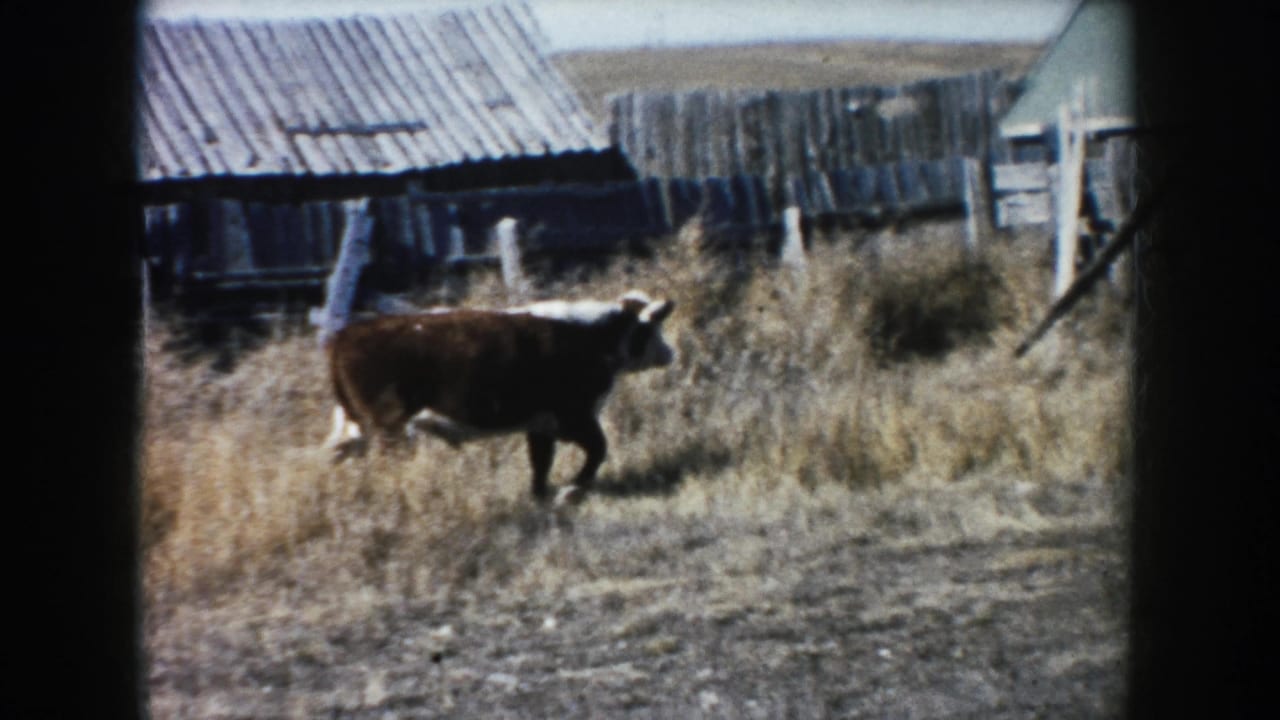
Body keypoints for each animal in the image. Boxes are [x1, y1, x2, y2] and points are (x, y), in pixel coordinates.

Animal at [324, 290, 675, 506]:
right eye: (652, 329)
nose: (670, 353)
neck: (592, 333)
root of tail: (346, 334)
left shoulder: (542, 423)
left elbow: (540, 464)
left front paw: (541, 498)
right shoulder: (574, 416)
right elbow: (598, 449)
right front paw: (570, 492)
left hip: (357, 425)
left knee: (334, 454)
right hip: (389, 428)